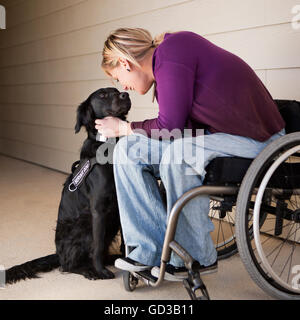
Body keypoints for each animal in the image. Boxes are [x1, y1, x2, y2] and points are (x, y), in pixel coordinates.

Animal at [5, 87, 130, 282]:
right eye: (102, 95)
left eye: (117, 90)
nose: (126, 94)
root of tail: (58, 253)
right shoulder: (98, 209)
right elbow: (98, 245)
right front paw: (101, 271)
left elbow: (127, 240)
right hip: (83, 224)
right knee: (67, 265)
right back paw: (89, 270)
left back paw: (112, 259)